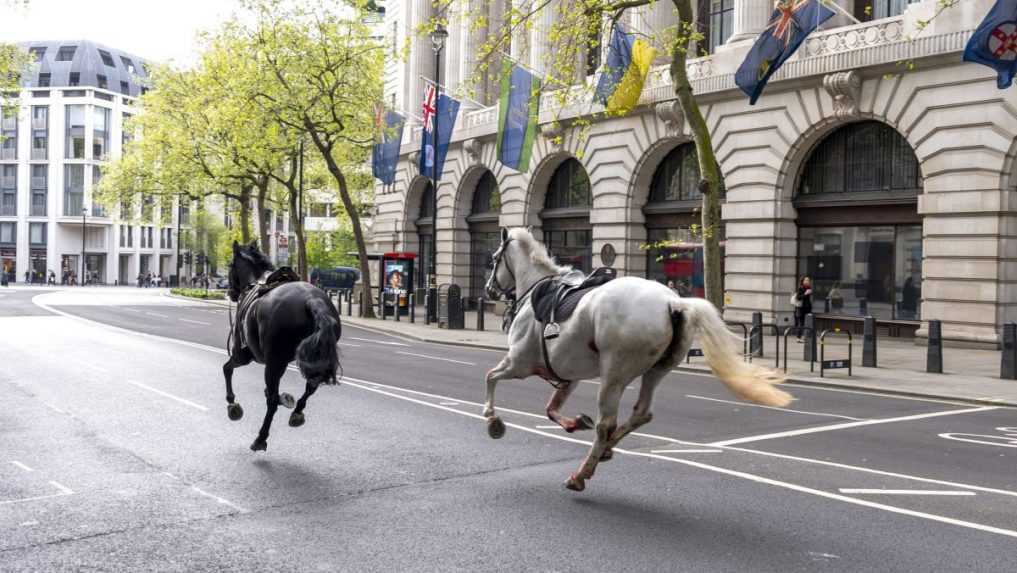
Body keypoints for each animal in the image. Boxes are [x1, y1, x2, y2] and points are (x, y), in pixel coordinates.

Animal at [222, 241, 341, 453]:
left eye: (230, 265)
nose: (231, 293)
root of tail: (312, 300)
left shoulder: (243, 355)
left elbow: (227, 369)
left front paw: (232, 404)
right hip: (310, 358)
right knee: (311, 386)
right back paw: (297, 412)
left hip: (273, 362)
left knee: (271, 402)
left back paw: (260, 438)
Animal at [484, 228, 793, 492]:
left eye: (493, 259)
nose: (488, 290)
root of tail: (674, 302)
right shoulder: (568, 375)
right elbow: (550, 408)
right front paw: (574, 423)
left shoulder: (519, 363)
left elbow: (490, 377)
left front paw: (492, 420)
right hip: (656, 370)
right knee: (641, 413)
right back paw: (606, 450)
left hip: (613, 375)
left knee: (606, 424)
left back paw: (581, 473)